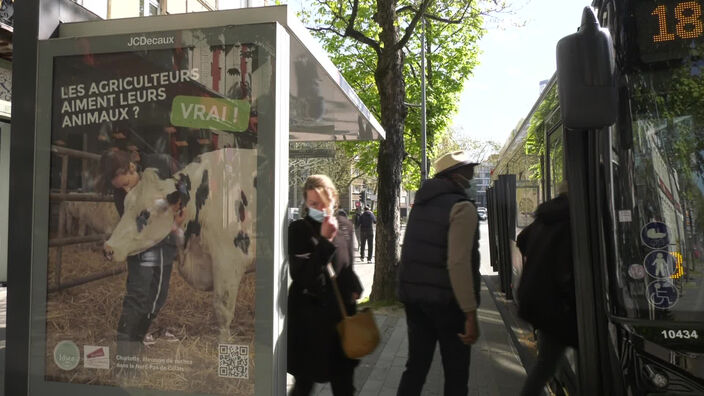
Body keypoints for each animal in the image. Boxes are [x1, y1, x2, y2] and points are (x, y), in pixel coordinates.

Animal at [103, 148, 258, 340]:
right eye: (124, 205)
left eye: (145, 213)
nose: (108, 248)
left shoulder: (230, 259)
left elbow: (222, 308)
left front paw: (224, 342)